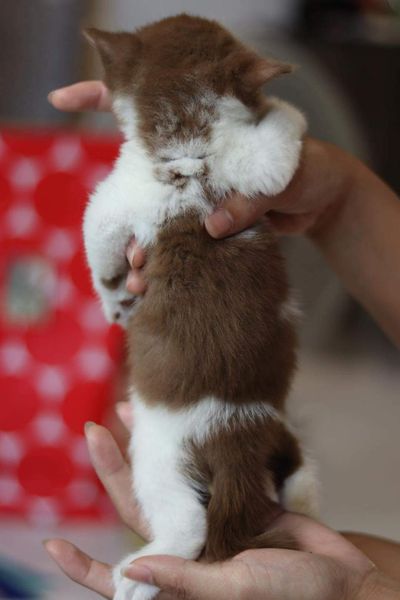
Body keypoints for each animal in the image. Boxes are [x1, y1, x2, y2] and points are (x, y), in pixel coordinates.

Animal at [83, 14, 318, 600]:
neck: (193, 139)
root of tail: (237, 437)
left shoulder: (112, 200)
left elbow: (99, 248)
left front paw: (115, 301)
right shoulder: (258, 173)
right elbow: (281, 144)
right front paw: (284, 109)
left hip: (159, 456)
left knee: (190, 525)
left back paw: (141, 571)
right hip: (279, 430)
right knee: (301, 469)